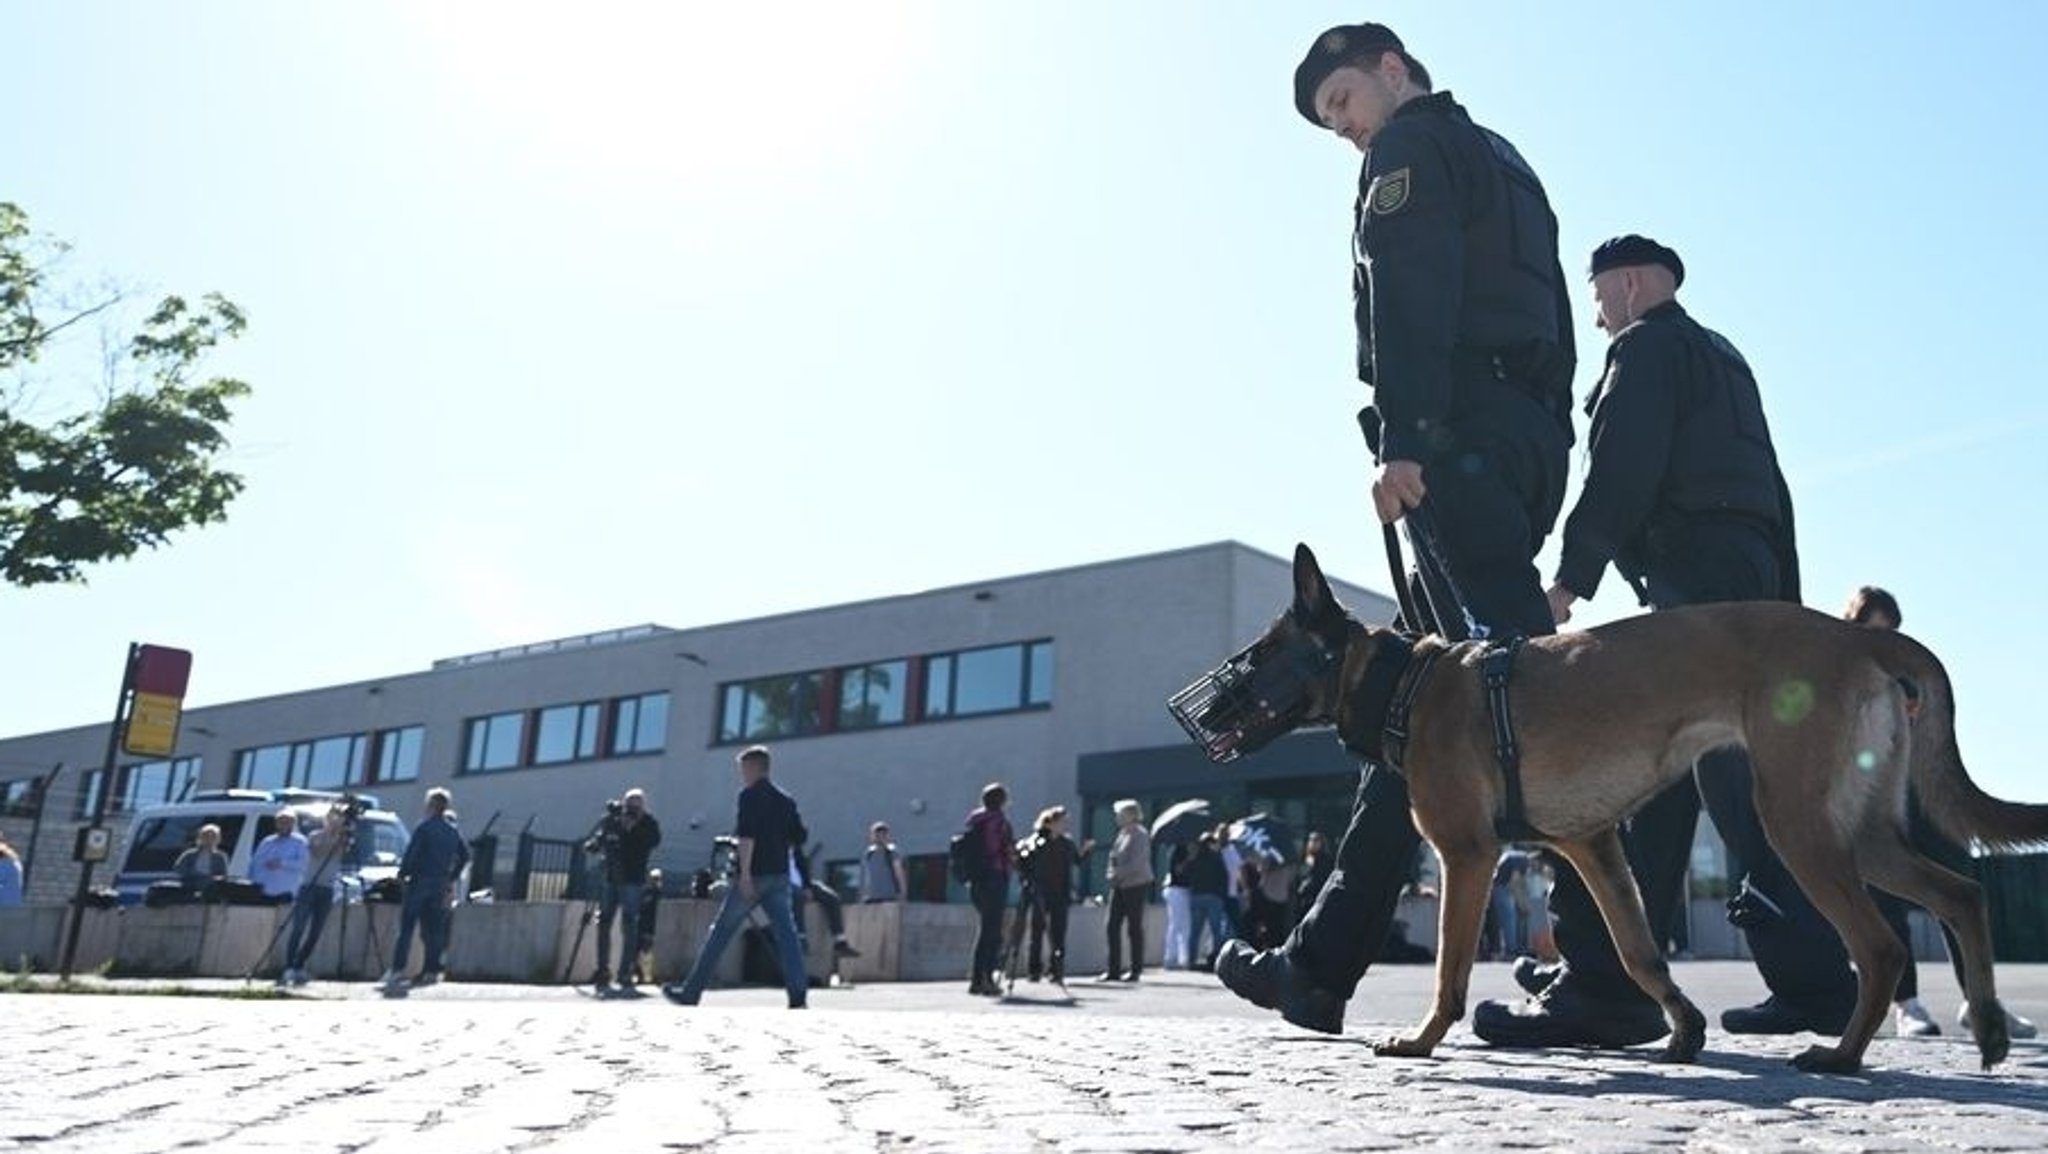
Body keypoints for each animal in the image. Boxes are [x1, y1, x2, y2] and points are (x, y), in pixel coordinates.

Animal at [1171, 541, 2048, 1074]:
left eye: (1258, 653)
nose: (1196, 712)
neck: (1408, 682)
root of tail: (1854, 636)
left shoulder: (1467, 857)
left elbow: (1450, 966)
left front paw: (1421, 1040)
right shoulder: (1594, 847)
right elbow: (1639, 952)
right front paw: (1683, 1030)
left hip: (1801, 829)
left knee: (1883, 945)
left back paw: (1840, 1054)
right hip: (1857, 834)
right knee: (1960, 893)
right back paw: (1989, 1027)